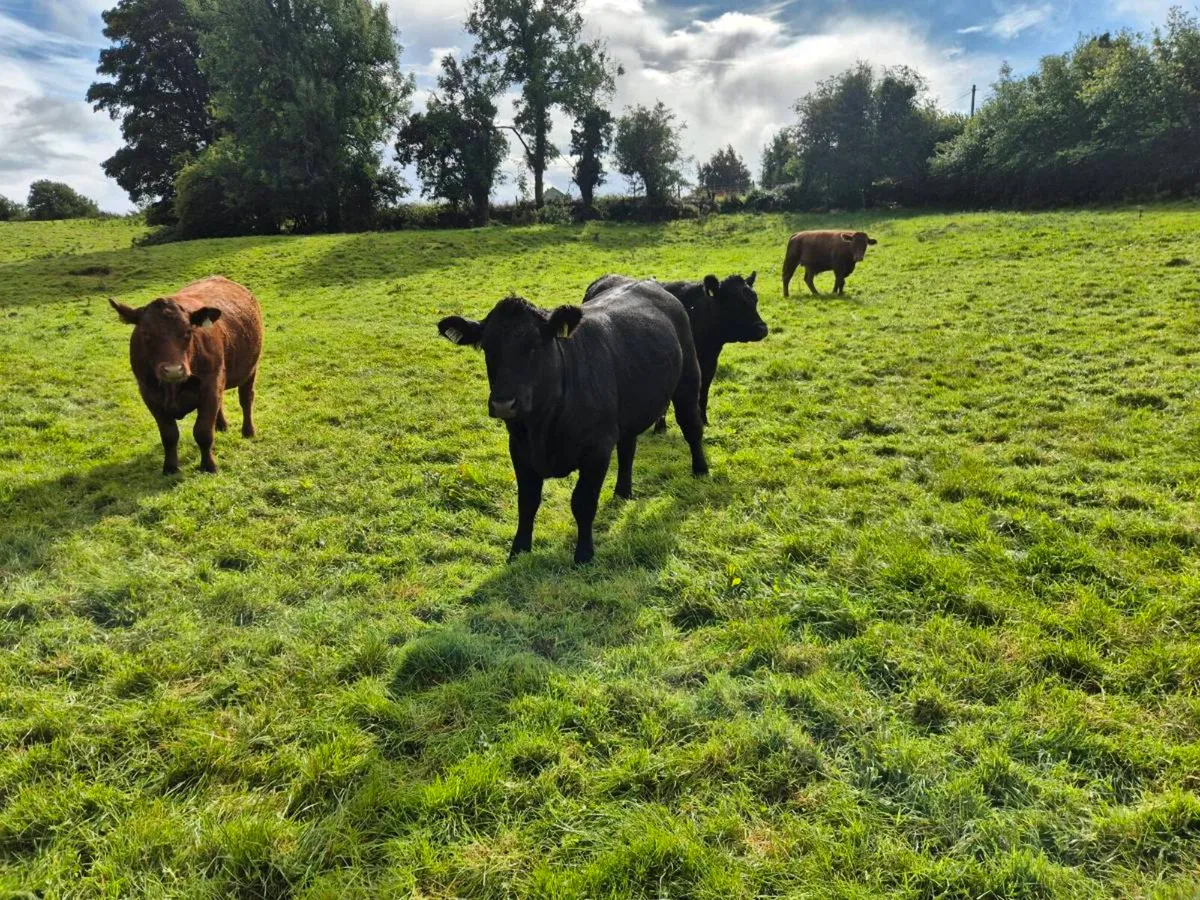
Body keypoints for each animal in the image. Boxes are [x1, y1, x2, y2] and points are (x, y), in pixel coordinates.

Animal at [109, 276, 263, 475]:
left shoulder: (210, 385)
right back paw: (221, 425)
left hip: (250, 369)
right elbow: (169, 435)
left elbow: (203, 431)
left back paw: (248, 431)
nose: (173, 370)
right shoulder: (149, 394)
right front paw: (170, 467)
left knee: (246, 399)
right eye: (146, 333)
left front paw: (209, 465)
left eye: (188, 332)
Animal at [438, 282, 708, 564]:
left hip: (688, 381)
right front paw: (518, 550)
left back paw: (700, 470)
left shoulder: (597, 449)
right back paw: (623, 491)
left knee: (691, 428)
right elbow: (527, 501)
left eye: (535, 345)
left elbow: (583, 502)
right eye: (488, 348)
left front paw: (584, 554)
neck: (542, 426)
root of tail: (649, 284)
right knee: (628, 448)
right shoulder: (519, 448)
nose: (503, 403)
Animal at [583, 272, 768, 432]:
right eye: (733, 303)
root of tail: (603, 278)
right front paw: (660, 426)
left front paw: (704, 420)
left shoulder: (709, 365)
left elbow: (704, 393)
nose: (762, 328)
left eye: (755, 299)